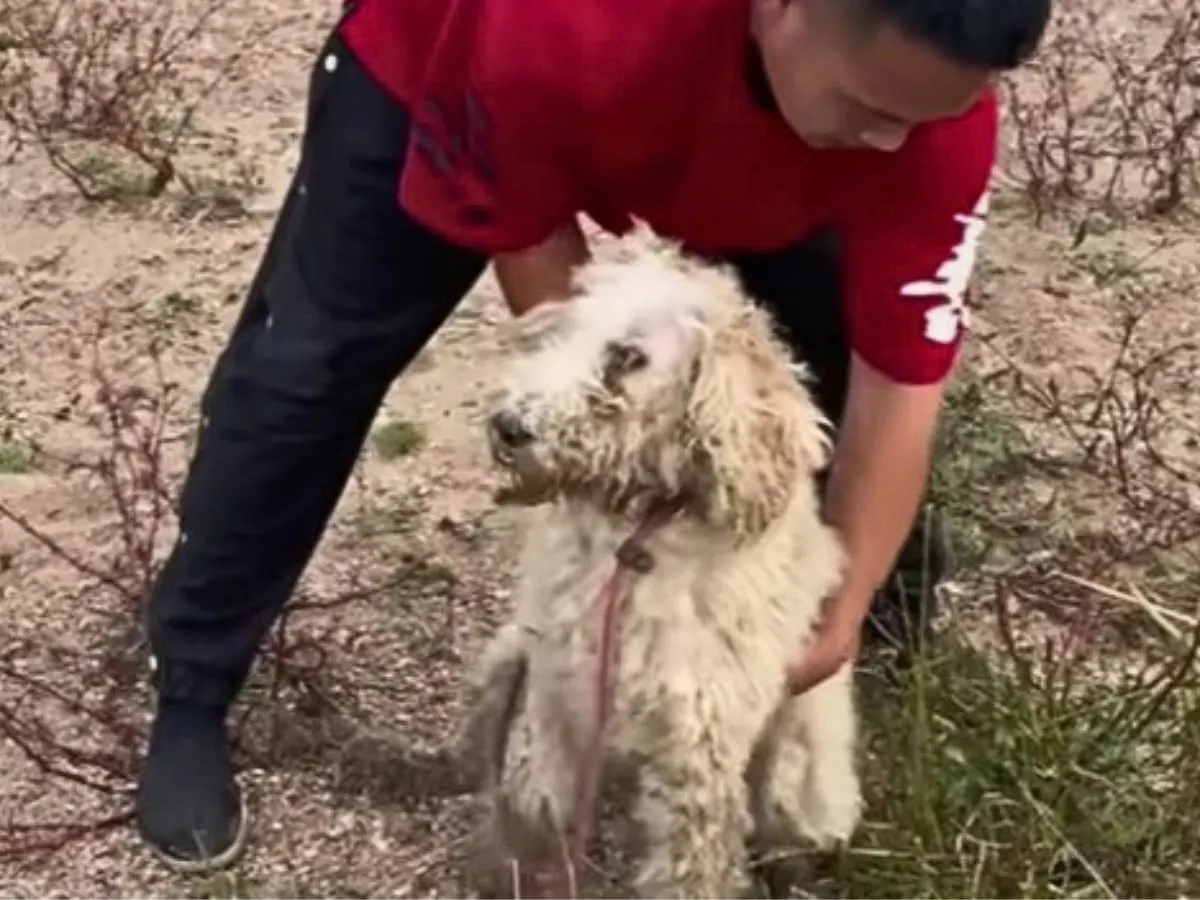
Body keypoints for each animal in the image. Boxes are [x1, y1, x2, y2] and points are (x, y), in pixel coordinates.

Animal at [458, 229, 864, 897]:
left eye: (627, 357)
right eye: (565, 330)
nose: (507, 426)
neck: (636, 545)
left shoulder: (697, 748)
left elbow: (689, 873)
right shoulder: (559, 688)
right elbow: (533, 798)